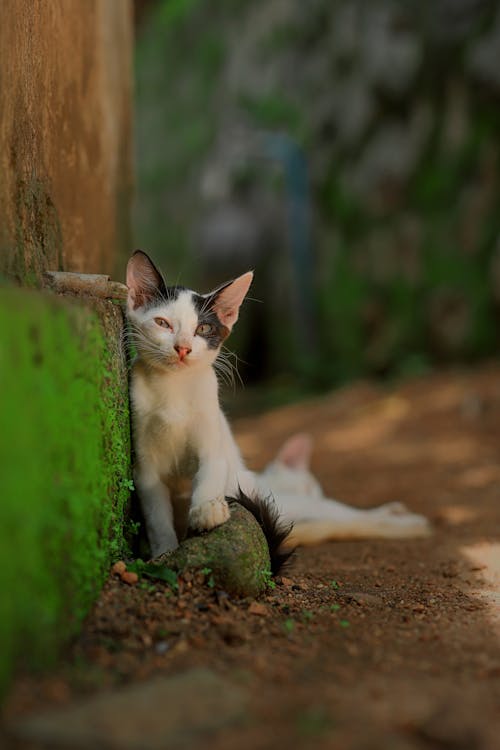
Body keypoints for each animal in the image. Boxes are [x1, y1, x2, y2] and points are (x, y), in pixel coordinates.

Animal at [126, 251, 258, 560]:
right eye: (162, 323)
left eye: (203, 328)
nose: (183, 347)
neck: (173, 389)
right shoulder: (145, 466)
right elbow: (156, 514)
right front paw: (164, 550)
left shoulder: (211, 430)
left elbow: (210, 470)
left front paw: (207, 509)